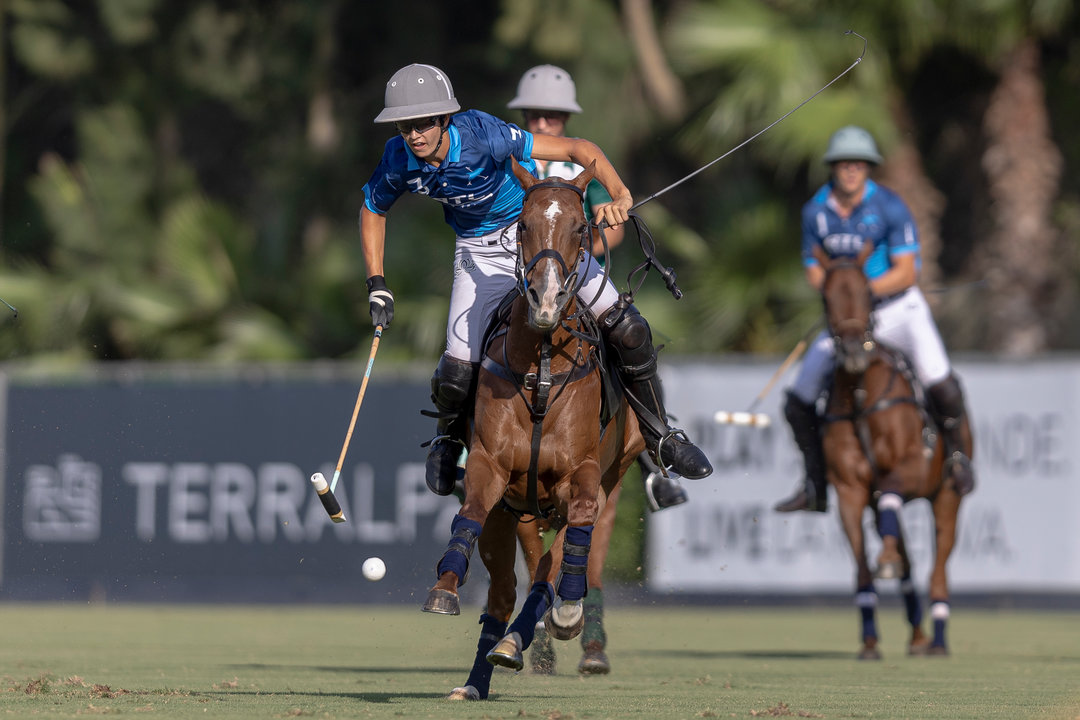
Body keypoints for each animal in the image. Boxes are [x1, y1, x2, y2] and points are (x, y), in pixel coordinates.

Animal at [419, 157, 639, 699]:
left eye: (582, 227)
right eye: (521, 225)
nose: (545, 300)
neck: (541, 366)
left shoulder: (582, 477)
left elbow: (569, 545)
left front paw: (569, 611)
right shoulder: (491, 467)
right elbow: (470, 516)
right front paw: (444, 587)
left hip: (614, 474)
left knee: (550, 570)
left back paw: (540, 631)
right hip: (514, 512)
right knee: (505, 592)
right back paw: (481, 675)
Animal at [816, 241, 963, 660]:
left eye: (868, 292)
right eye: (825, 297)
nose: (852, 350)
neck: (861, 393)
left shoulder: (912, 467)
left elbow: (892, 500)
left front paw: (886, 561)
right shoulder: (850, 490)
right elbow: (863, 568)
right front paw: (869, 641)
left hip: (947, 497)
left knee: (938, 567)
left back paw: (939, 640)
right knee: (905, 555)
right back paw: (917, 634)